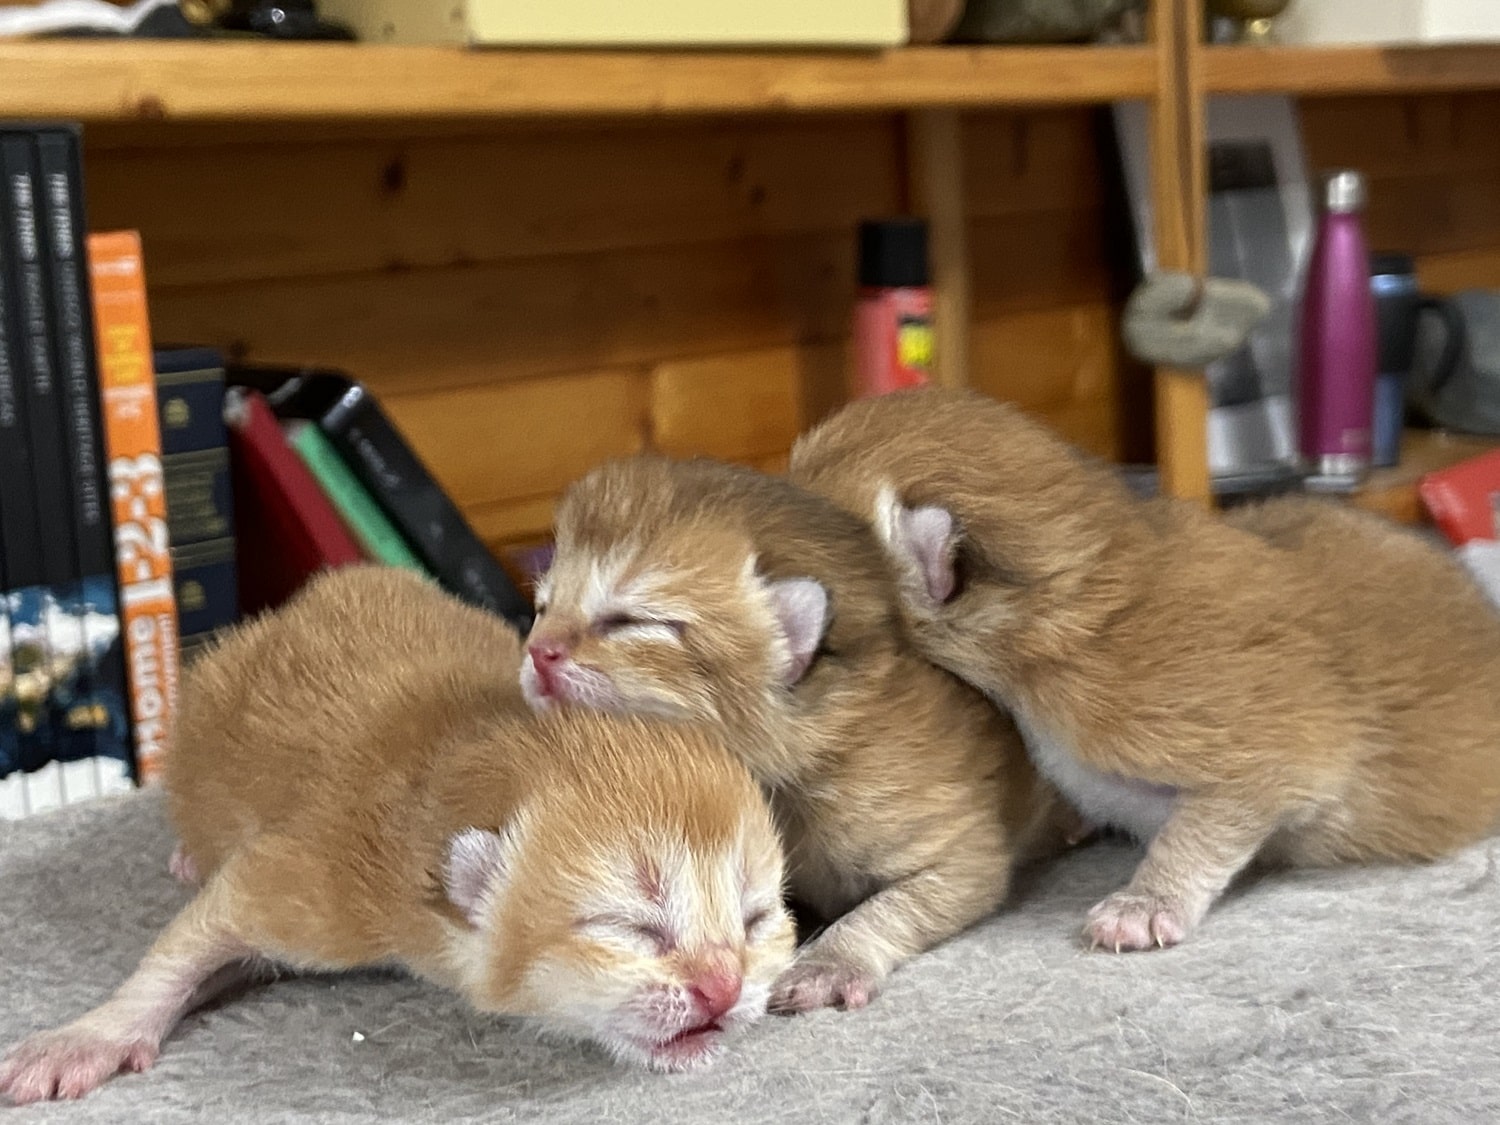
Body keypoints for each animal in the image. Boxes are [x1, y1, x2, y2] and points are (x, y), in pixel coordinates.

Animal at [0, 567, 798, 1104]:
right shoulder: (324, 884)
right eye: (631, 926)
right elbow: (191, 939)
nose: (724, 986)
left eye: (756, 919)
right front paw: (88, 1036)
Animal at [522, 456, 1074, 1014]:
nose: (537, 652)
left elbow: (894, 906)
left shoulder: (955, 847)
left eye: (629, 621)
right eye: (542, 609)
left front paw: (830, 962)